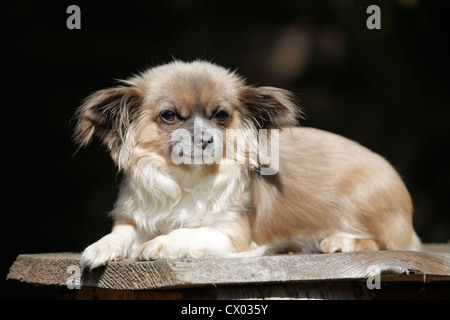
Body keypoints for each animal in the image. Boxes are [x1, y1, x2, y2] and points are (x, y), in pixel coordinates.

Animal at [74, 60, 422, 270]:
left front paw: (158, 244)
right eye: (170, 116)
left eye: (221, 116)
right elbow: (119, 235)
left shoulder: (231, 235)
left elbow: (190, 233)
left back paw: (341, 240)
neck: (187, 180)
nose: (206, 138)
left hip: (361, 199)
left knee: (386, 242)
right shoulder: (133, 221)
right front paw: (98, 248)